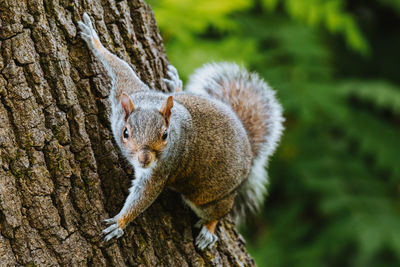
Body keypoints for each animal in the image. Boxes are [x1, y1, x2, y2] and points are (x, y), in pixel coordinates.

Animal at [79, 12, 284, 251]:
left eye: (164, 135)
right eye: (126, 133)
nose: (144, 160)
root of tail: (250, 154)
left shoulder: (163, 169)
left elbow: (144, 196)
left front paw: (120, 223)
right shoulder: (127, 89)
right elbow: (120, 65)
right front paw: (93, 38)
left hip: (209, 197)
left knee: (218, 212)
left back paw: (208, 231)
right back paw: (175, 86)